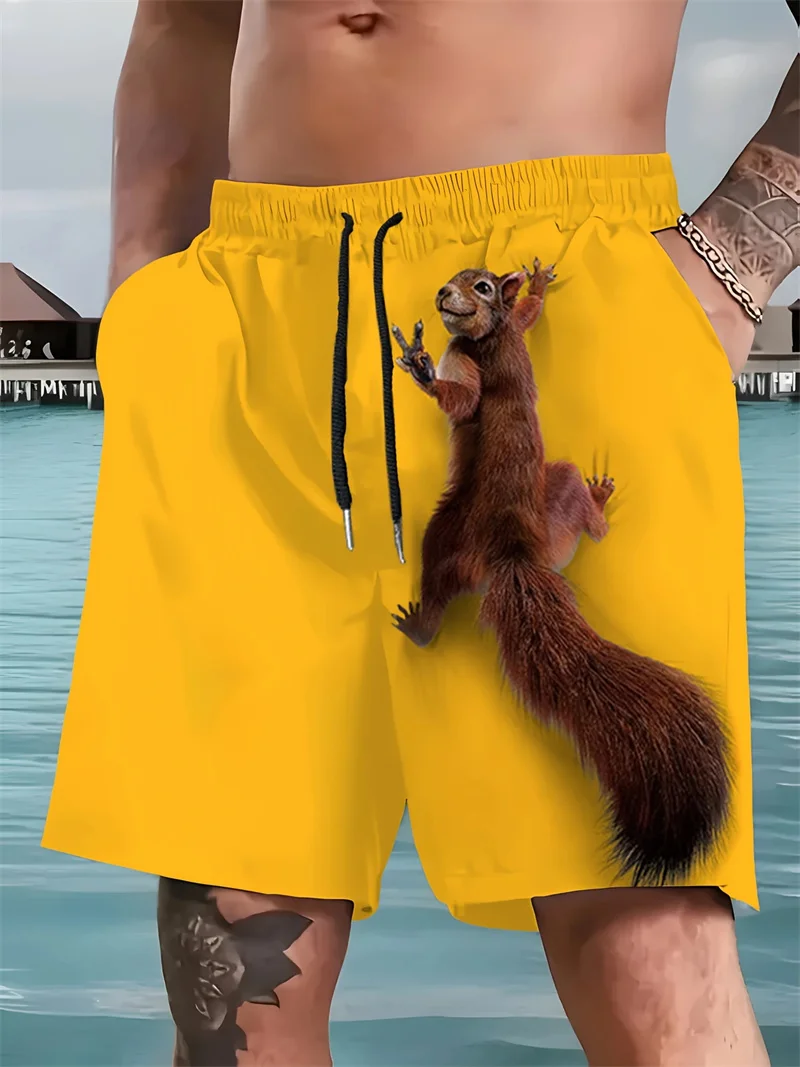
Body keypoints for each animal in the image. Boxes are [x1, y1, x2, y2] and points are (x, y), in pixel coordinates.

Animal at [389, 260, 732, 888]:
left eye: (479, 286)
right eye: (457, 277)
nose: (443, 294)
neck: (491, 336)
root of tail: (517, 553)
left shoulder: (469, 361)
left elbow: (462, 401)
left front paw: (422, 367)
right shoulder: (514, 335)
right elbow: (531, 316)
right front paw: (537, 284)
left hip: (444, 535)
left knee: (437, 585)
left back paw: (420, 624)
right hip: (559, 512)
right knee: (585, 522)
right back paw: (597, 504)